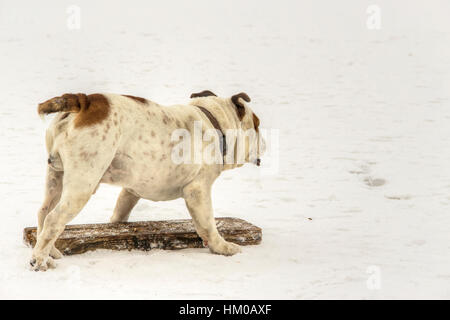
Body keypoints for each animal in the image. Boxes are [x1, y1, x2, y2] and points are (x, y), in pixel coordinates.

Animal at [30, 89, 264, 270]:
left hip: (56, 177)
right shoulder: (198, 191)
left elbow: (120, 212)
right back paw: (39, 261)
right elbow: (208, 224)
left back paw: (50, 253)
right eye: (257, 124)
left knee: (43, 212)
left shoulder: (131, 191)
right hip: (82, 184)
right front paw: (223, 247)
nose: (264, 140)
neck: (214, 124)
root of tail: (84, 100)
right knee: (54, 220)